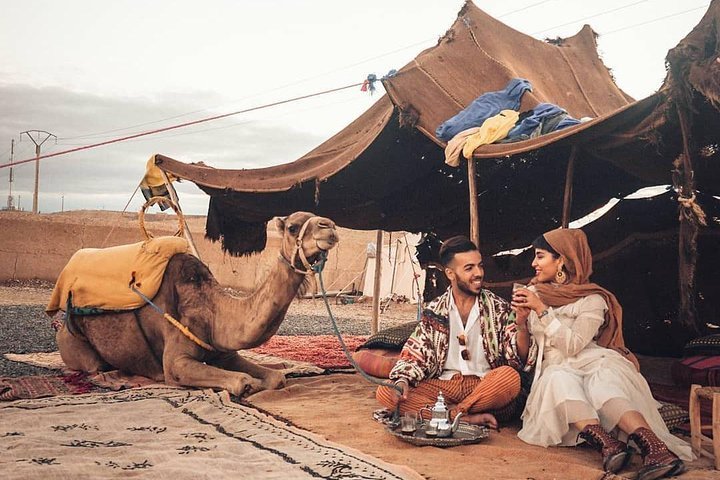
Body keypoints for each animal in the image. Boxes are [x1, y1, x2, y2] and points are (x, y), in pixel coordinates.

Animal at [55, 212, 338, 396]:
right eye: (292, 227)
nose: (330, 227)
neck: (213, 308)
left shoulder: (225, 353)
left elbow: (277, 377)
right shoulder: (176, 362)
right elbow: (243, 381)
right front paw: (250, 384)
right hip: (76, 344)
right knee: (95, 366)